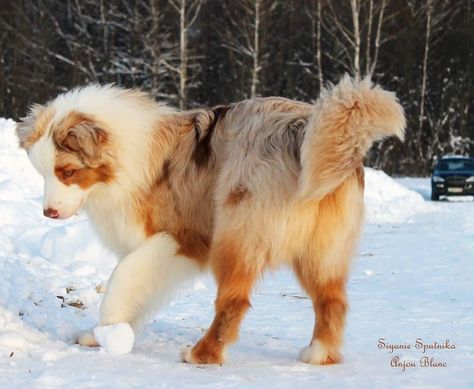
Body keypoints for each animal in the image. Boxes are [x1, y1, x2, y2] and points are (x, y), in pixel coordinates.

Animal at [16, 76, 406, 364]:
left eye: (67, 171)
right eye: (42, 172)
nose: (48, 213)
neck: (125, 158)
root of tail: (302, 128)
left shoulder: (183, 238)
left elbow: (122, 277)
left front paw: (110, 331)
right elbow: (141, 291)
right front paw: (109, 335)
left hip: (235, 234)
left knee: (233, 301)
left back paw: (203, 353)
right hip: (322, 251)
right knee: (332, 300)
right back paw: (319, 354)